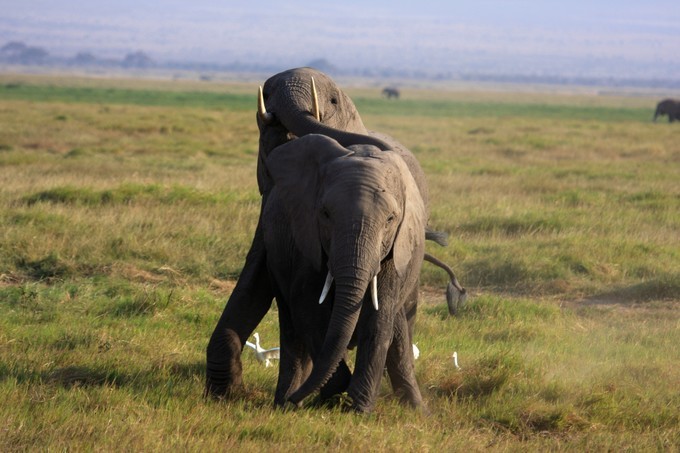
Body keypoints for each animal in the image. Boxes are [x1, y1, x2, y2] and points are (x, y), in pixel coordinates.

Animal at [264, 133, 428, 410]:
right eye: (325, 214)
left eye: (390, 219)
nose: (294, 400)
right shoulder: (305, 242)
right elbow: (308, 310)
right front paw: (335, 392)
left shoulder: (395, 251)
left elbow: (379, 316)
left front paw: (359, 408)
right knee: (291, 327)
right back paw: (284, 403)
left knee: (399, 328)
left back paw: (417, 410)